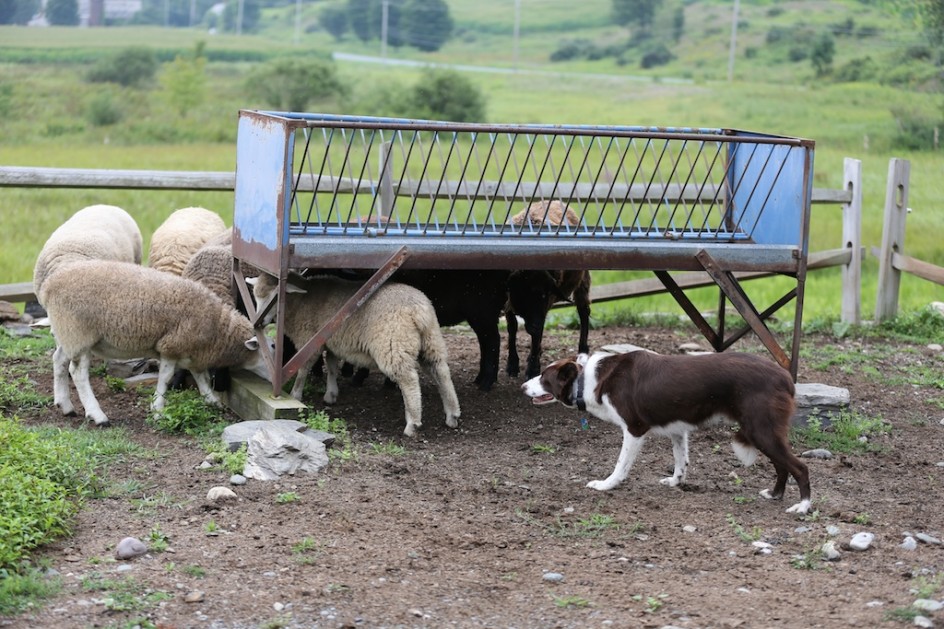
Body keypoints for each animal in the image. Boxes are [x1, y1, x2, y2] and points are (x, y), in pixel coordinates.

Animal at [40, 258, 270, 424]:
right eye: (271, 348)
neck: (219, 328)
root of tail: (48, 286)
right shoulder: (171, 346)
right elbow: (166, 377)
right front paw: (158, 408)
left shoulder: (193, 351)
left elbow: (201, 377)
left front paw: (212, 400)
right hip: (79, 333)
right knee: (77, 372)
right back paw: (97, 415)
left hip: (67, 333)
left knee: (59, 360)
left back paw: (65, 405)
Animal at [247, 270, 460, 436]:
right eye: (256, 296)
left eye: (273, 297)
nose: (259, 322)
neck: (300, 302)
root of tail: (418, 310)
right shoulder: (332, 342)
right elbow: (332, 367)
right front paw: (331, 395)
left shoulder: (309, 339)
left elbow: (303, 370)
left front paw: (295, 395)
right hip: (430, 340)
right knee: (441, 371)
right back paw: (452, 414)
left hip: (393, 342)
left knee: (409, 380)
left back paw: (412, 423)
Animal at [508, 201, 592, 378]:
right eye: (523, 293)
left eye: (545, 294)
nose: (535, 325)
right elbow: (512, 328)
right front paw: (512, 365)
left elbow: (536, 336)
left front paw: (533, 368)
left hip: (583, 282)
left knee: (584, 313)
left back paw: (582, 350)